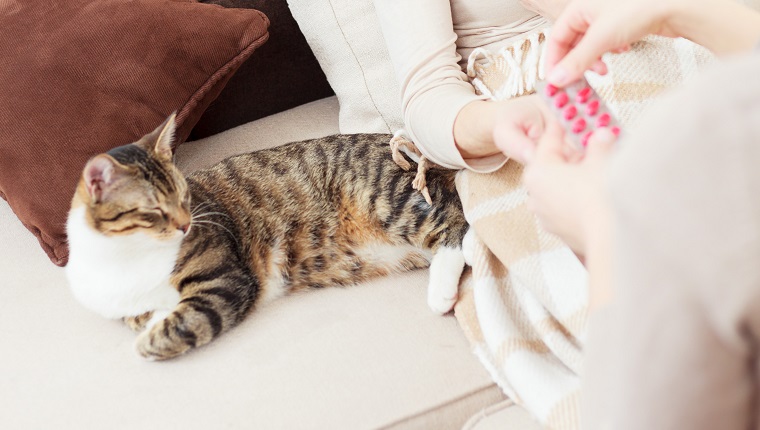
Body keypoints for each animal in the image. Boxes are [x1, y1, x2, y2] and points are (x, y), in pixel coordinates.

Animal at [65, 115, 470, 360]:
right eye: (153, 209)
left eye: (183, 196)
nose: (185, 225)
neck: (124, 259)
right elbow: (142, 317)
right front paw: (151, 316)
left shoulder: (225, 282)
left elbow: (170, 330)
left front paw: (149, 337)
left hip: (387, 199)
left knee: (456, 227)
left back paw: (441, 292)